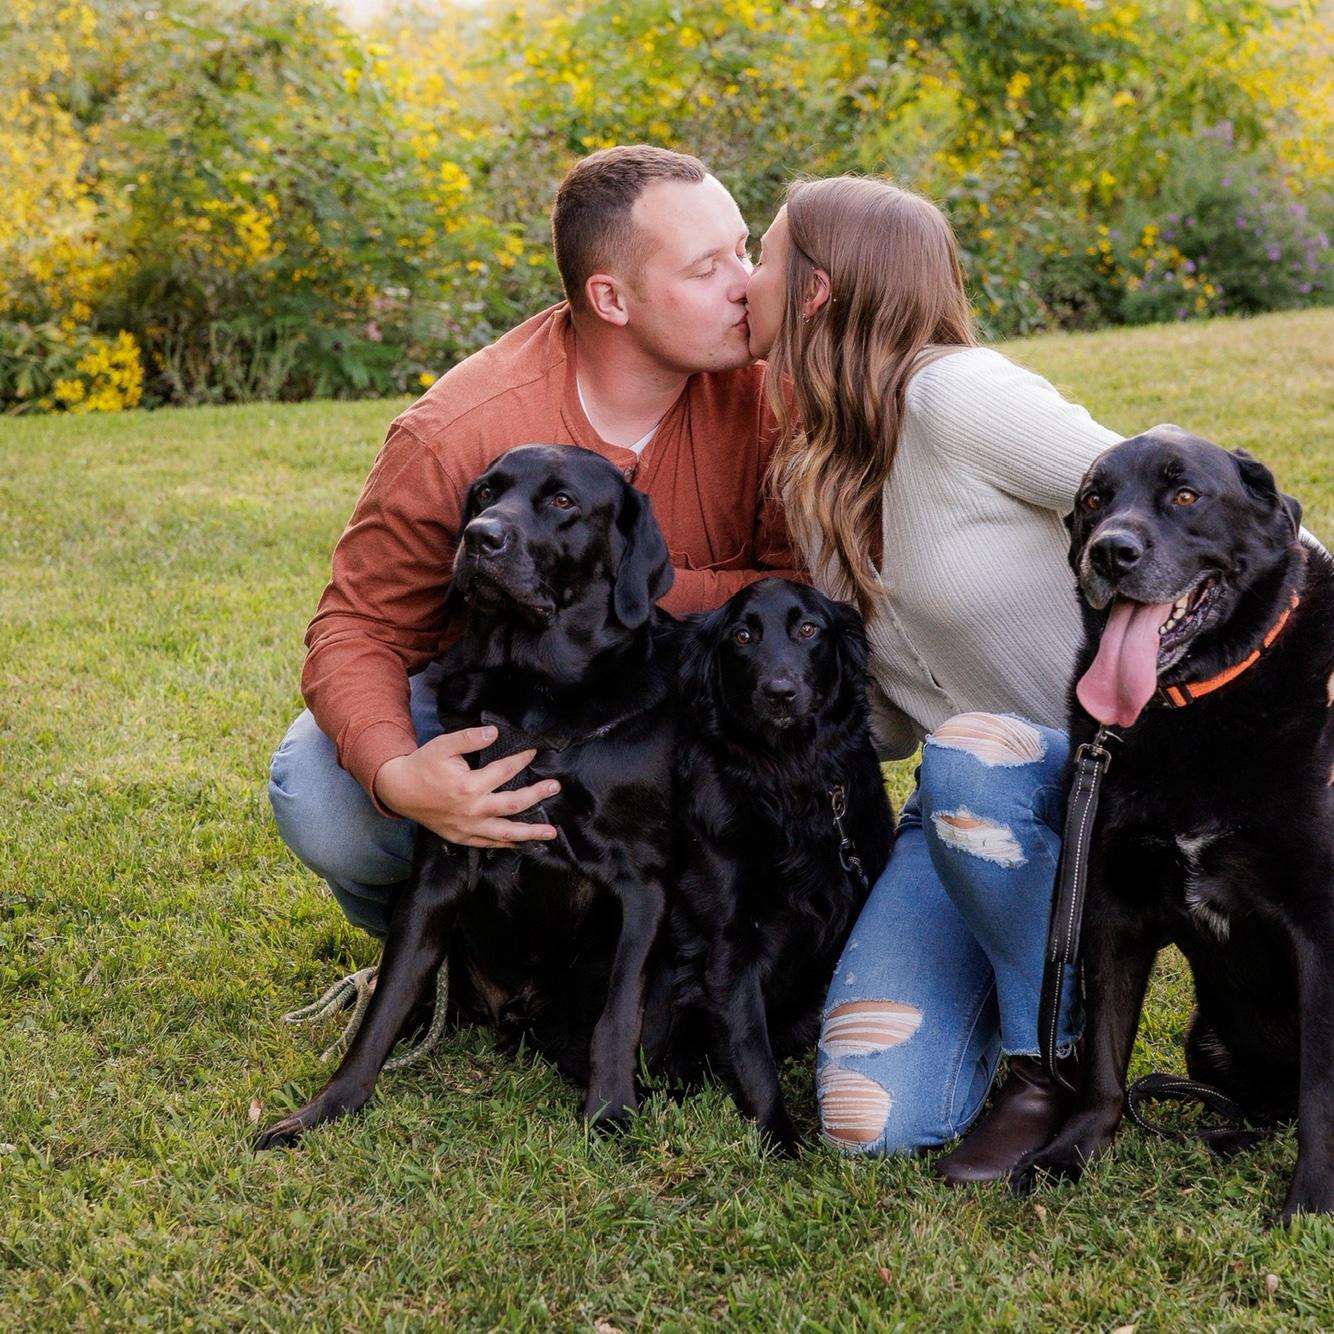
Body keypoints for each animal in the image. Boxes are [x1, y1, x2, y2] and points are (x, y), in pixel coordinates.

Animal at [257, 445, 682, 1147]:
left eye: (563, 501)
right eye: (485, 492)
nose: (480, 538)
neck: (529, 690)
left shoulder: (642, 886)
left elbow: (619, 1013)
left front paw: (610, 1112)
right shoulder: (438, 871)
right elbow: (383, 1007)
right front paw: (324, 1109)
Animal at [646, 578, 895, 1152]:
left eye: (807, 629)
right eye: (742, 636)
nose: (780, 691)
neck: (789, 781)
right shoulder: (728, 946)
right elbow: (750, 1051)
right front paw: (781, 1142)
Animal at [1009, 425, 1334, 1223]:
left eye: (1185, 495)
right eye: (1095, 500)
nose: (1111, 553)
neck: (1199, 703)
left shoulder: (1321, 930)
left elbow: (1323, 1091)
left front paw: (1311, 1204)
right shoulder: (1111, 907)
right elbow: (1102, 1059)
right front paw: (1073, 1153)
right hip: (1211, 1042)